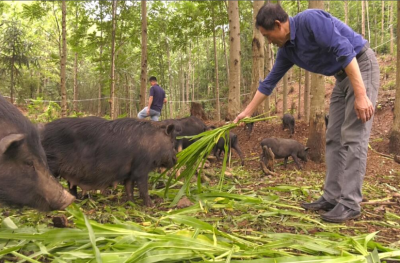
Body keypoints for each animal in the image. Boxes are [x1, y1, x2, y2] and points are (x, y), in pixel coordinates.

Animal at [41, 117, 177, 206]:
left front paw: (132, 203)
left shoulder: (130, 172)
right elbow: (143, 188)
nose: (176, 159)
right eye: (171, 142)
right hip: (51, 163)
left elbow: (129, 188)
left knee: (72, 187)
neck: (154, 143)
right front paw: (151, 206)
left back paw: (77, 200)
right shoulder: (141, 168)